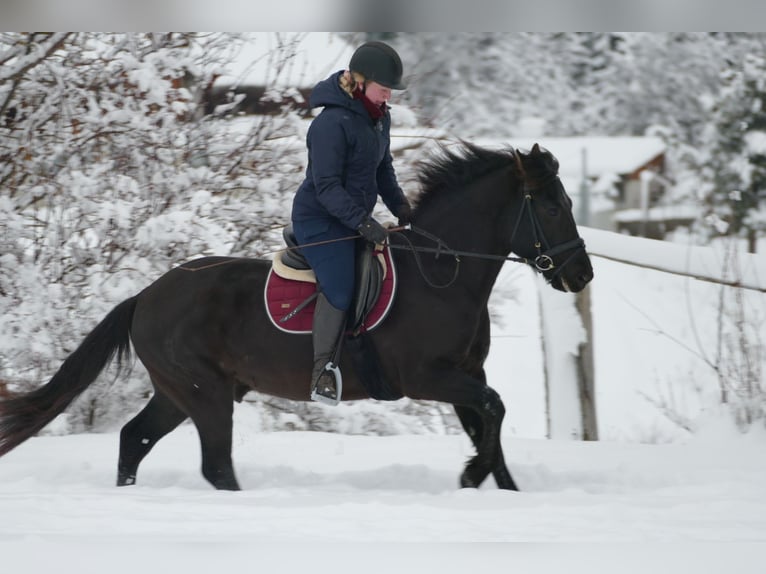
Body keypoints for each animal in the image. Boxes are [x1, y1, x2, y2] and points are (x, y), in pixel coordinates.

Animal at [0, 143, 592, 490]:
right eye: (553, 206)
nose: (582, 274)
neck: (440, 272)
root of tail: (146, 296)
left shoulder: (467, 374)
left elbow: (489, 423)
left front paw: (493, 486)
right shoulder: (428, 378)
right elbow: (493, 410)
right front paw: (472, 476)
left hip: (179, 392)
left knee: (134, 440)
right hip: (204, 392)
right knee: (214, 464)